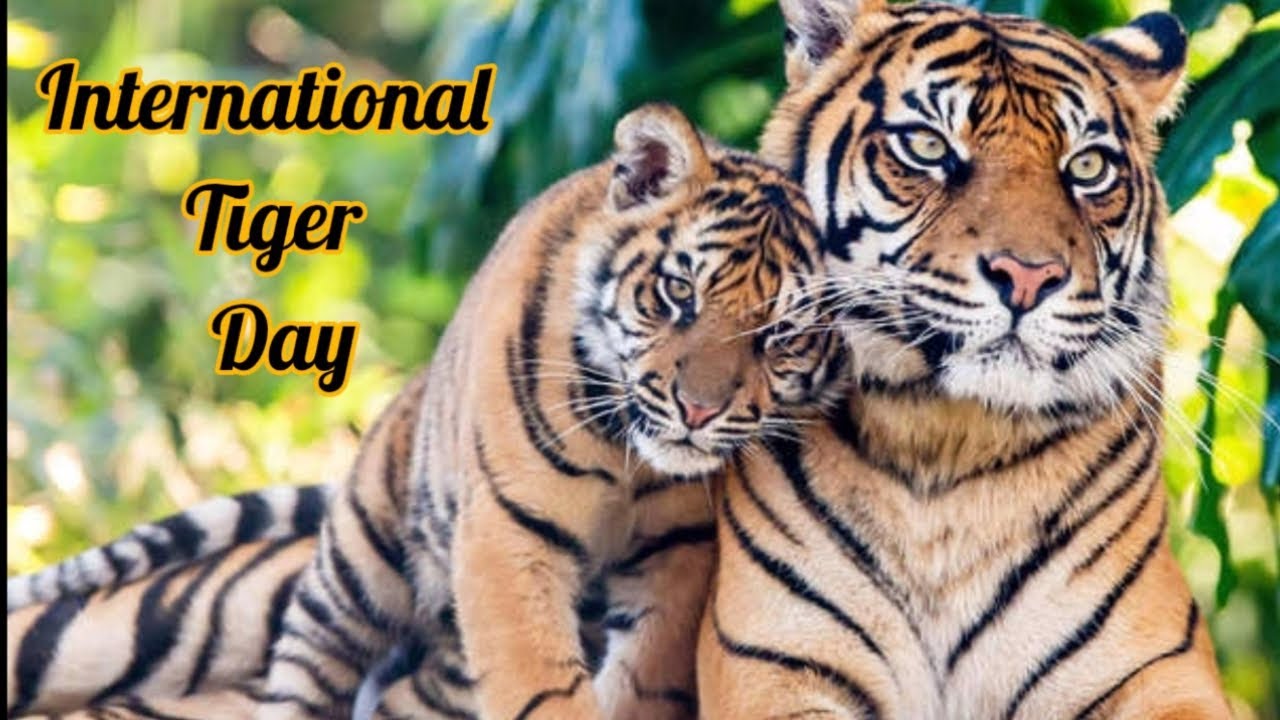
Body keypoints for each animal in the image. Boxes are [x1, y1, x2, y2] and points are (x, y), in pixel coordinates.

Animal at [239, 101, 842, 720]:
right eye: (678, 291)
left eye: (781, 334)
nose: (698, 410)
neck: (627, 453)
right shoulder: (509, 529)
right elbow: (540, 685)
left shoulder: (678, 549)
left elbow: (645, 676)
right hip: (358, 560)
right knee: (308, 665)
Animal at [697, 1, 1232, 719]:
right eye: (927, 147)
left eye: (1089, 167)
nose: (1029, 276)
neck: (946, 443)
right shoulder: (776, 668)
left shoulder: (1157, 670)